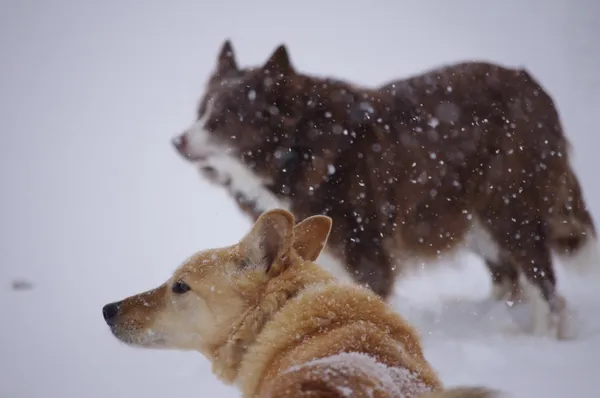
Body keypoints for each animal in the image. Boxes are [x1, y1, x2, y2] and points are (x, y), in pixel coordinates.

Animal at [171, 40, 596, 338]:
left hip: (508, 208)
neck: (298, 149)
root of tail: (535, 88)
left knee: (543, 282)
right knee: (507, 275)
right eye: (200, 111)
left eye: (225, 117)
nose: (177, 141)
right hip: (467, 217)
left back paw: (539, 338)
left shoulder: (368, 252)